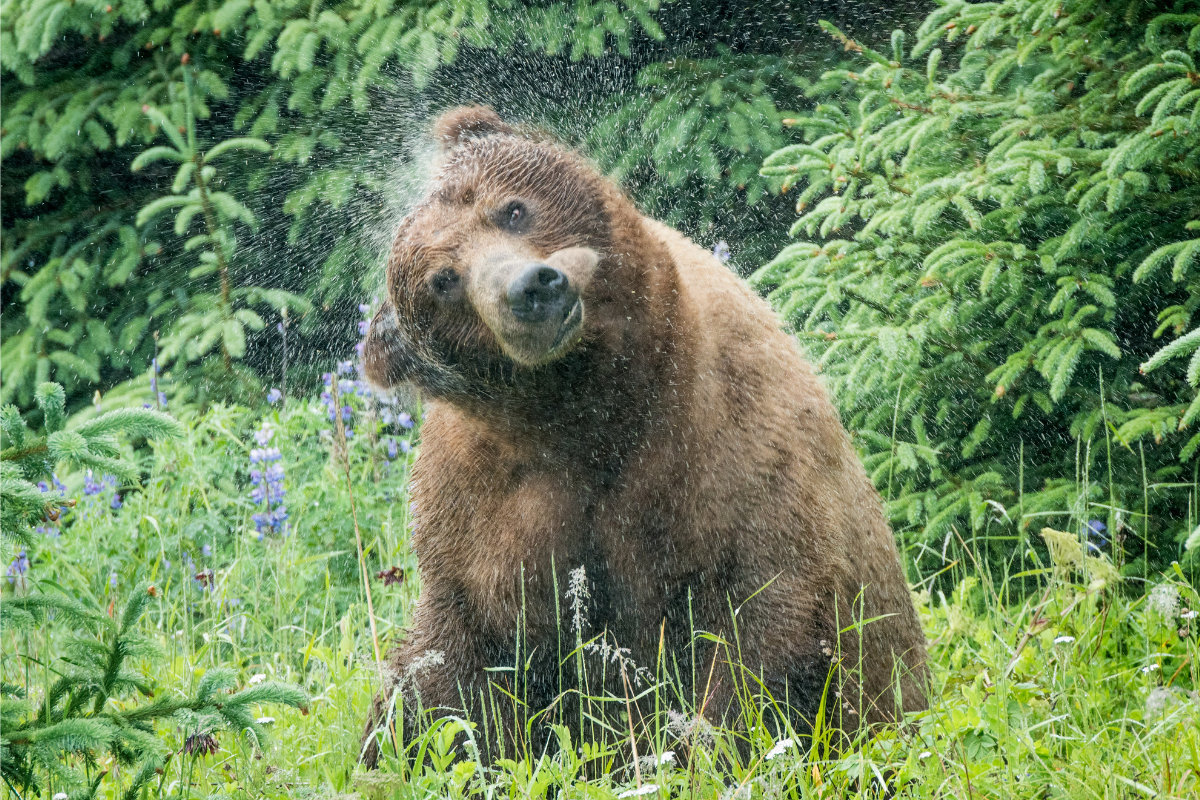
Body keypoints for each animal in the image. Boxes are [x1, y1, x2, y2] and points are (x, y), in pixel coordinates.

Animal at [360, 106, 928, 765]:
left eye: (513, 209)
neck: (592, 412)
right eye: (443, 280)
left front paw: (711, 746)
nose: (533, 287)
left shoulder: (729, 443)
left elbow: (758, 624)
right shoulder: (481, 510)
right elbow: (452, 674)